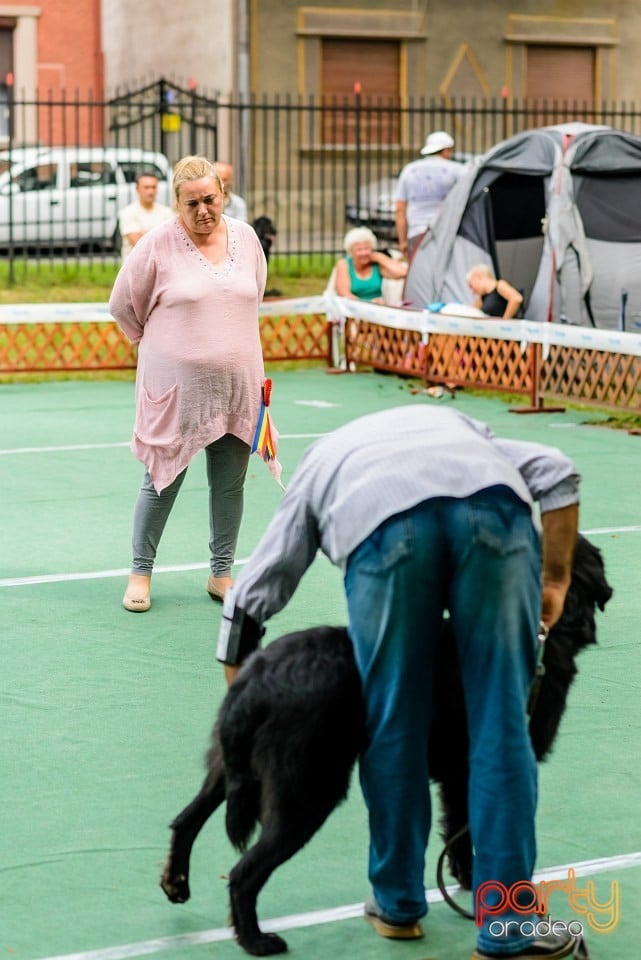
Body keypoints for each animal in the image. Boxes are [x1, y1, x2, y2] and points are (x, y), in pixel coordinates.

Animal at [160, 532, 608, 952]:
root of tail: (257, 678)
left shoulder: (456, 776)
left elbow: (458, 835)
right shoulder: (490, 764)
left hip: (230, 768)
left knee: (186, 819)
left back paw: (176, 882)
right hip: (307, 791)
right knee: (244, 873)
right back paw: (256, 941)